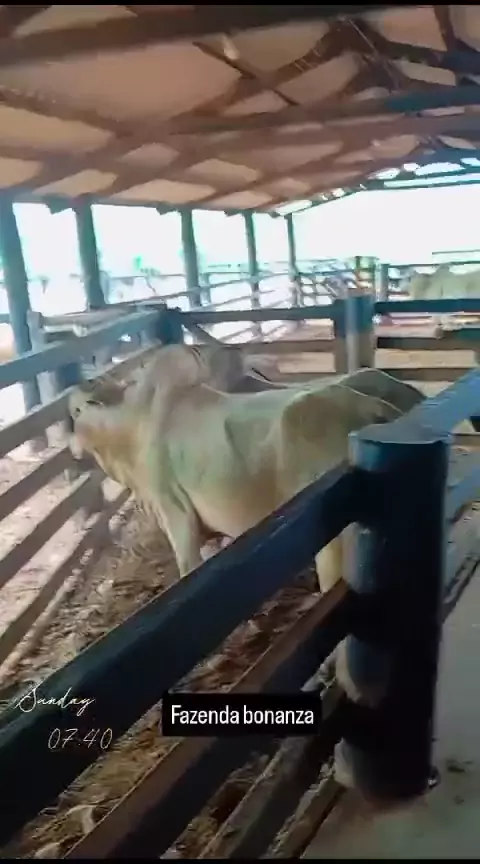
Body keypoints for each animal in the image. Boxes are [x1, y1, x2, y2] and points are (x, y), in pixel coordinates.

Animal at [68, 344, 433, 596]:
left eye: (75, 411)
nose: (72, 450)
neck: (133, 427)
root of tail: (378, 407)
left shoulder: (175, 511)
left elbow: (188, 567)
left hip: (336, 548)